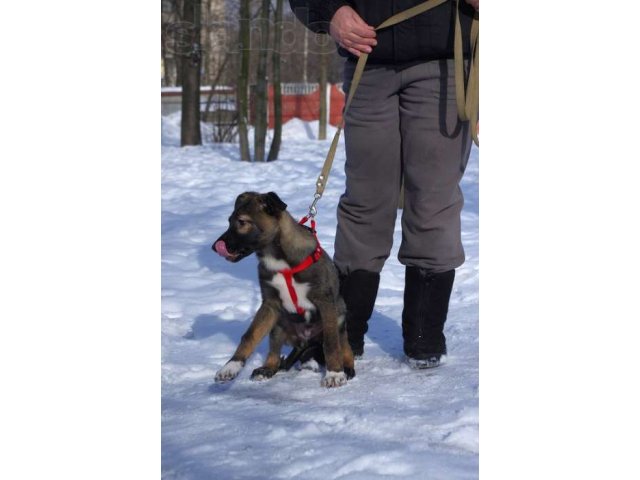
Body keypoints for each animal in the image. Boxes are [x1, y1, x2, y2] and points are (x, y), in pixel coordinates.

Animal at [214, 190, 356, 386]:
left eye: (242, 222)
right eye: (229, 221)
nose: (214, 247)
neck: (276, 257)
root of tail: (305, 341)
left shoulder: (325, 302)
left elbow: (331, 343)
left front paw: (334, 373)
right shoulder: (270, 304)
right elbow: (250, 335)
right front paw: (231, 366)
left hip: (340, 316)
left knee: (345, 345)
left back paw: (347, 367)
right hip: (279, 323)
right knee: (275, 352)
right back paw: (267, 368)